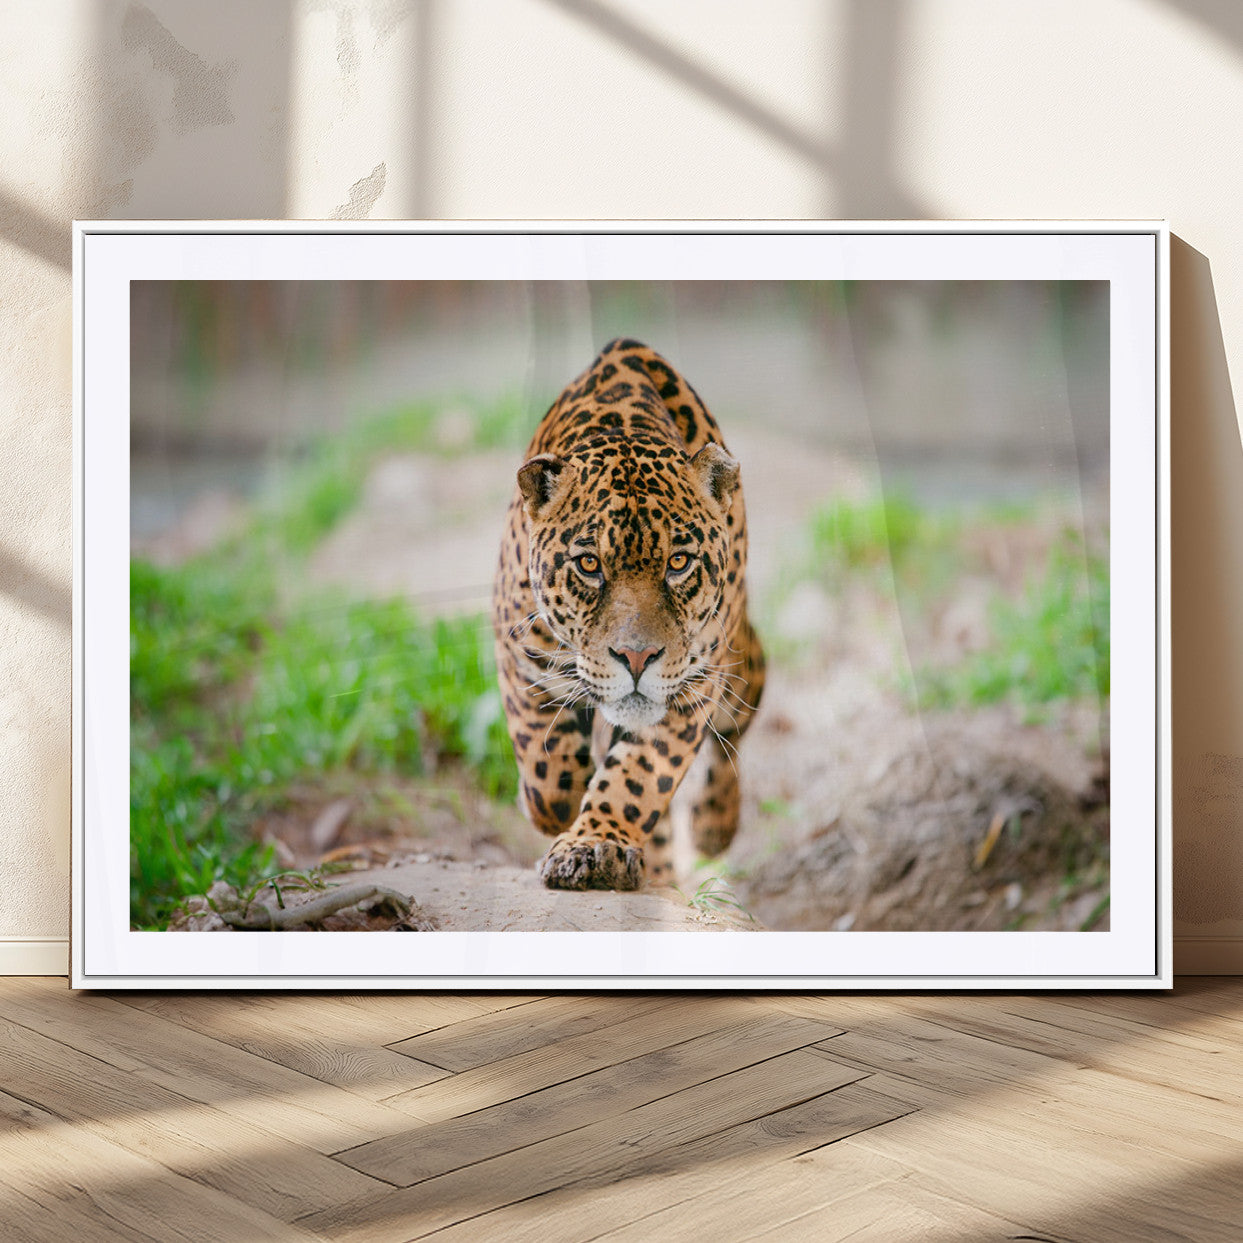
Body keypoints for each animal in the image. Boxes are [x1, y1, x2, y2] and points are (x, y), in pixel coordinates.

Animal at [492, 338, 765, 891]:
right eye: (589, 565)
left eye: (678, 563)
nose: (636, 658)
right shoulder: (518, 652)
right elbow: (546, 769)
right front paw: (556, 809)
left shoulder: (691, 686)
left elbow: (637, 777)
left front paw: (594, 845)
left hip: (739, 666)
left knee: (737, 721)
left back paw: (713, 827)